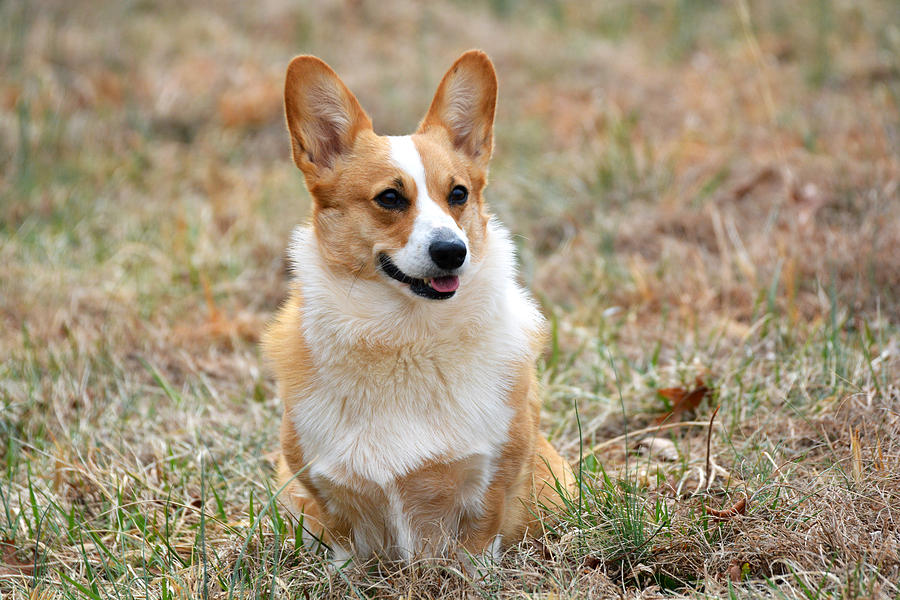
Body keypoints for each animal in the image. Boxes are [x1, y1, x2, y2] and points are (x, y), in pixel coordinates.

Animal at [264, 49, 572, 564]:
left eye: (459, 194)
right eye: (390, 197)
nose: (453, 251)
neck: (406, 337)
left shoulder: (491, 485)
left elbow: (477, 546)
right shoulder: (325, 495)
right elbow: (345, 548)